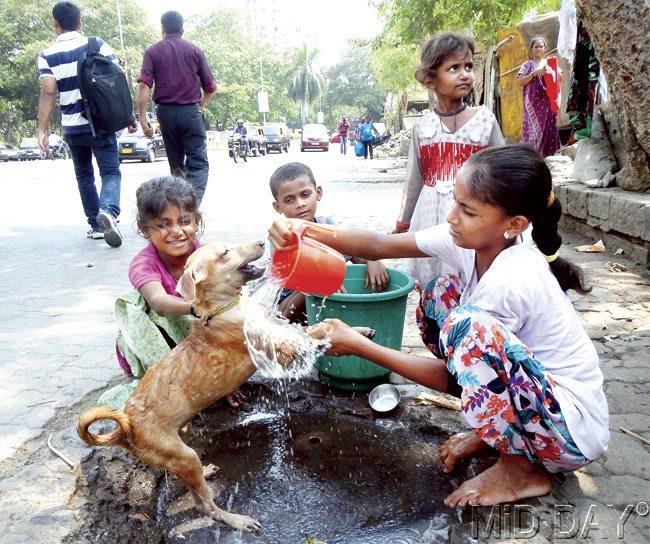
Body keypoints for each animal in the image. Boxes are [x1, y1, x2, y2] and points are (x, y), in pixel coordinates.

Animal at [76, 242, 370, 532]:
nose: (263, 242)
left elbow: (314, 327)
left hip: (179, 455)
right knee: (204, 505)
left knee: (185, 482)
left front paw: (360, 329)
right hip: (182, 454)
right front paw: (344, 335)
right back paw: (236, 519)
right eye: (225, 253)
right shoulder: (276, 348)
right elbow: (314, 332)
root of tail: (125, 428)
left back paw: (206, 473)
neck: (224, 308)